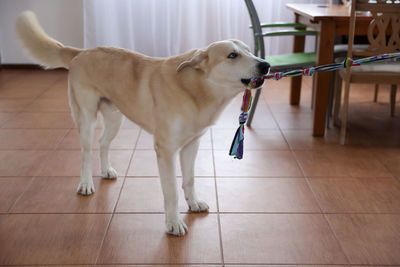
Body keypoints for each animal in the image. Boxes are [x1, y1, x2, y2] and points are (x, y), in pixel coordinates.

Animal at [17, 10, 270, 237]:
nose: (266, 65)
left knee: (103, 143)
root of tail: (82, 52)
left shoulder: (191, 146)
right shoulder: (165, 151)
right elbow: (171, 191)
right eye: (232, 55)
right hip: (86, 118)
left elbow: (189, 180)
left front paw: (194, 203)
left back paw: (106, 170)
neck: (194, 88)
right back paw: (86, 183)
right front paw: (173, 223)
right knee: (86, 153)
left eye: (250, 51)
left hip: (115, 119)